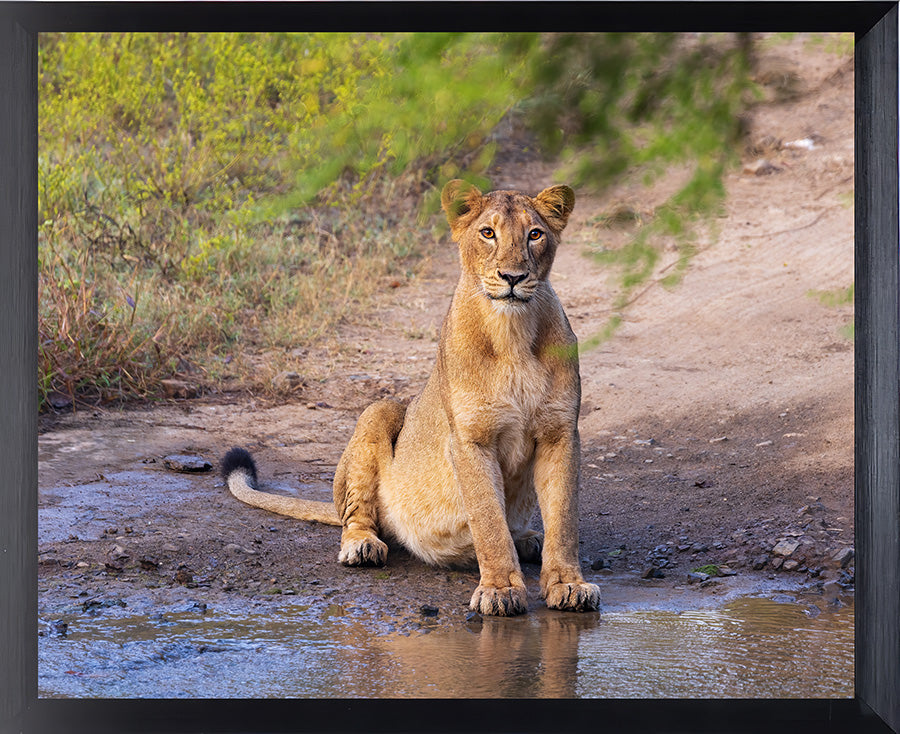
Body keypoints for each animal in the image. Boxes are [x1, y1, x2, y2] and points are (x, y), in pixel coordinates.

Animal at [222, 179, 601, 616]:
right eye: (488, 233)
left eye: (535, 234)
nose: (512, 276)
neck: (513, 334)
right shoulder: (469, 440)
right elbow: (489, 521)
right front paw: (501, 590)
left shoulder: (560, 433)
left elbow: (564, 519)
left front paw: (568, 585)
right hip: (380, 410)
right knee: (357, 515)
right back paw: (362, 546)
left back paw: (527, 538)